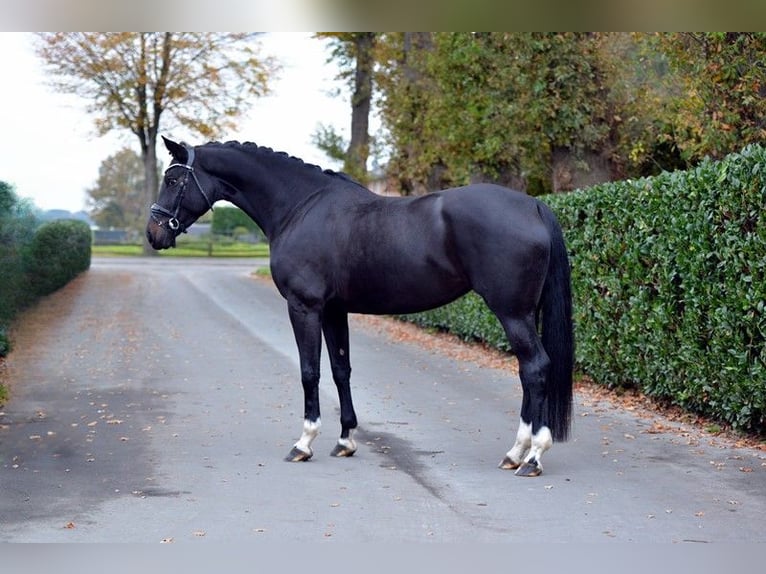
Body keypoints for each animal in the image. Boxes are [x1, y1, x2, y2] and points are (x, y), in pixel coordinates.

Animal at [147, 138, 572, 476]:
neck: (299, 206)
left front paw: (304, 443)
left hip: (511, 312)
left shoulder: (305, 307)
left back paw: (531, 456)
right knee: (528, 371)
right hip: (523, 312)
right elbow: (340, 371)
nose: (154, 234)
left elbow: (309, 372)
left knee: (535, 368)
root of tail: (533, 205)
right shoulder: (335, 310)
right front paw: (345, 439)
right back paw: (517, 453)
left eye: (173, 180)